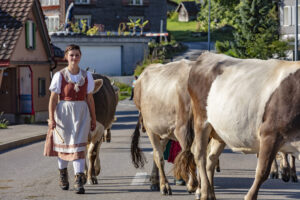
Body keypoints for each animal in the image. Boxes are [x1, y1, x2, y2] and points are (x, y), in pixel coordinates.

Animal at [130, 60, 198, 195]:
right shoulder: (183, 131)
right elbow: (191, 155)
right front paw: (193, 185)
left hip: (166, 131)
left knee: (159, 151)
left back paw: (155, 181)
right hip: (151, 127)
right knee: (158, 155)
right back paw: (164, 185)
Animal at [177, 52, 300, 199]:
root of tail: (207, 54)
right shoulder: (270, 133)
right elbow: (262, 171)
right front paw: (249, 196)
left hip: (219, 131)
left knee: (211, 158)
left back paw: (210, 193)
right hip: (202, 121)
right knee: (199, 154)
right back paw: (204, 192)